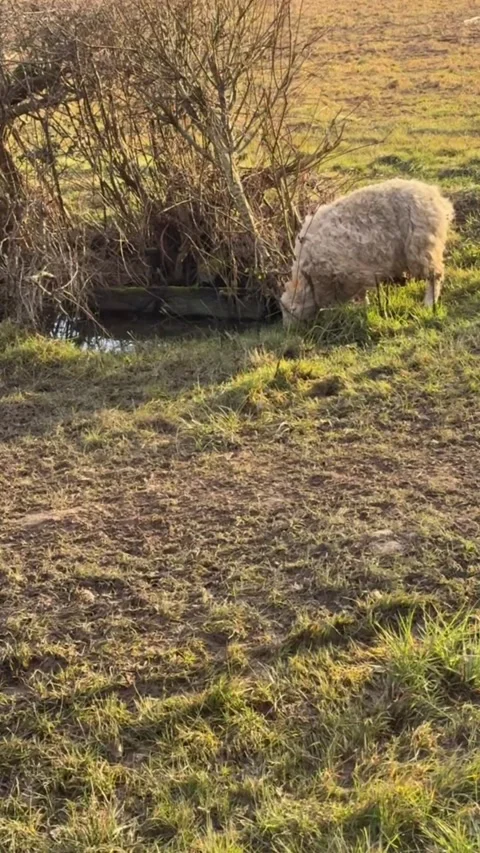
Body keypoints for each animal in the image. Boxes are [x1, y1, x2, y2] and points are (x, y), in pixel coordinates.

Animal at [280, 178, 454, 327]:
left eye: (290, 313)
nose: (289, 331)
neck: (308, 277)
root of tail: (436, 197)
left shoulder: (352, 273)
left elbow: (358, 294)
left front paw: (358, 307)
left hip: (422, 247)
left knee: (435, 276)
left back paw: (429, 303)